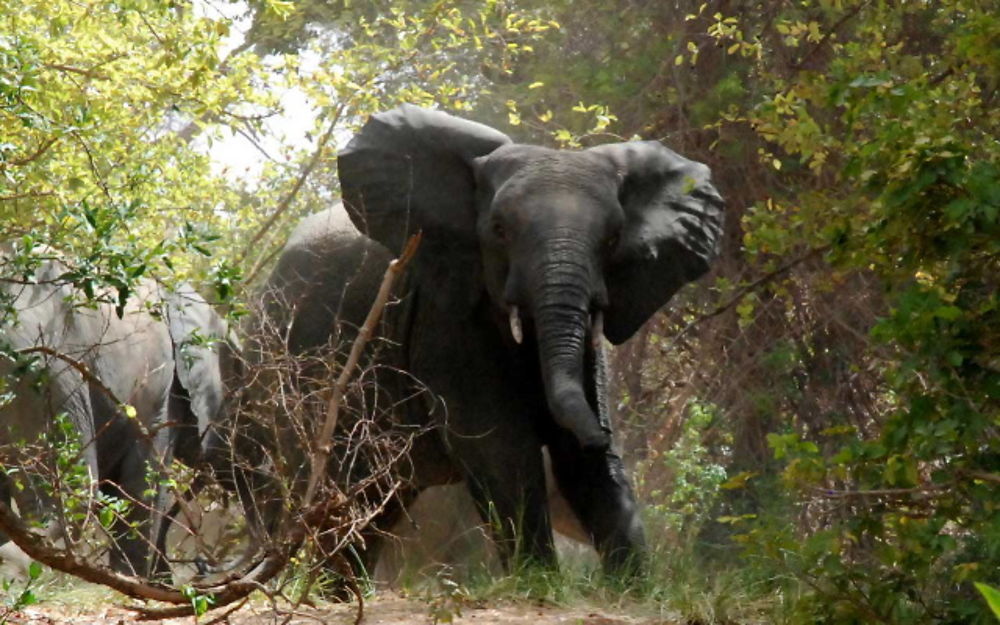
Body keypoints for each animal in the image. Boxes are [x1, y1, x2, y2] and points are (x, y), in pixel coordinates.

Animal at [0, 256, 232, 576]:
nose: (203, 565)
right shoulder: (162, 397)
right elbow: (142, 487)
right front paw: (133, 578)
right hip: (43, 372)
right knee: (73, 500)